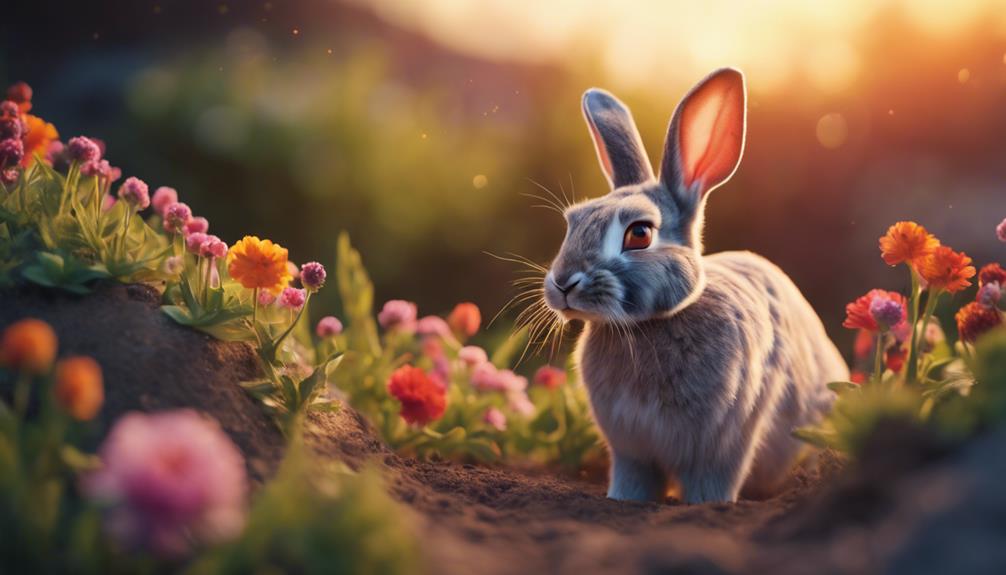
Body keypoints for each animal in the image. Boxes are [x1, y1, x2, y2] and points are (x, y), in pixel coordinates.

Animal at [541, 68, 848, 504]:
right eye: (574, 221)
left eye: (639, 233)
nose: (563, 283)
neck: (650, 324)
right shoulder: (632, 451)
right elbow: (633, 480)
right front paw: (622, 500)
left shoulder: (724, 443)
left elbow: (712, 482)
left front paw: (708, 506)